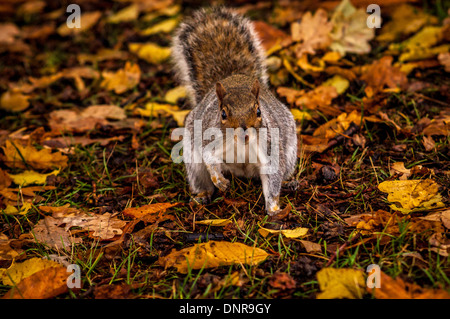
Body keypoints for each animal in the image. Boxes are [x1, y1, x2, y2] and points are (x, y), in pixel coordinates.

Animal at [171, 6, 298, 218]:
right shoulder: (209, 139)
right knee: (201, 177)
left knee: (284, 171)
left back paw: (289, 182)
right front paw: (220, 181)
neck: (241, 145)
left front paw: (273, 208)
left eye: (258, 111)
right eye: (223, 114)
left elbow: (272, 178)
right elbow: (209, 158)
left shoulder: (270, 147)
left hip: (289, 153)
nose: (244, 130)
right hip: (193, 161)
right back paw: (203, 195)